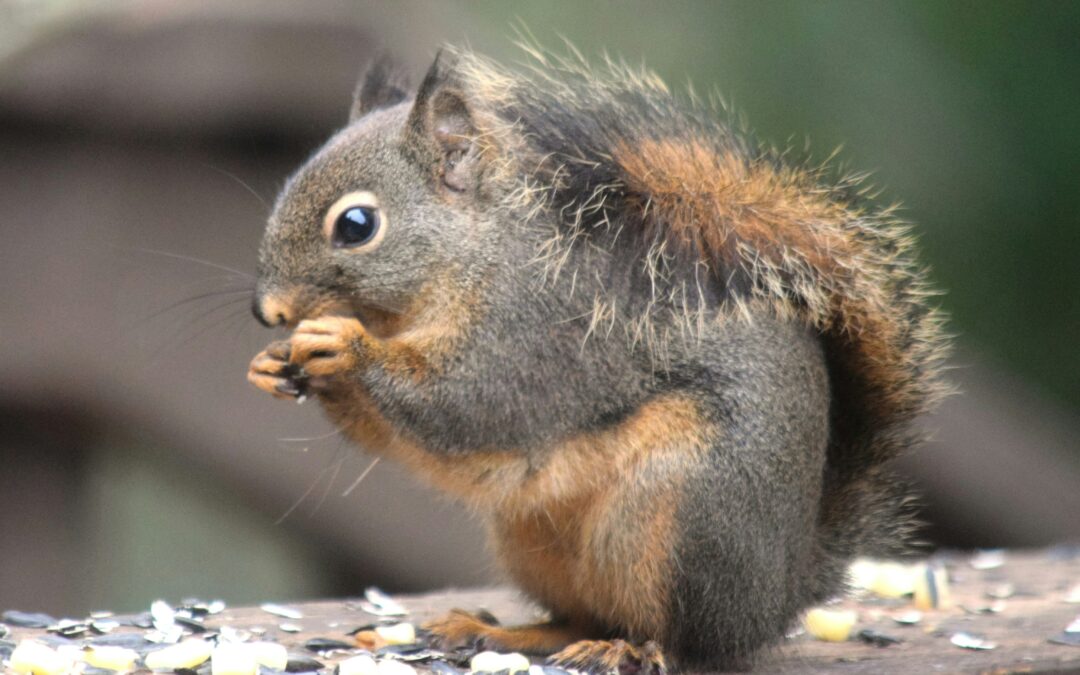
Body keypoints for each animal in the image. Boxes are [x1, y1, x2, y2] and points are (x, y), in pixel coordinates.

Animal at [246, 46, 948, 672]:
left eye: (356, 225)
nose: (268, 311)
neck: (470, 255)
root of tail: (780, 597)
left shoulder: (534, 331)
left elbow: (466, 403)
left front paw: (343, 346)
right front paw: (274, 363)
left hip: (679, 518)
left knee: (684, 641)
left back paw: (631, 649)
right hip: (535, 539)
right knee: (578, 617)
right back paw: (499, 632)